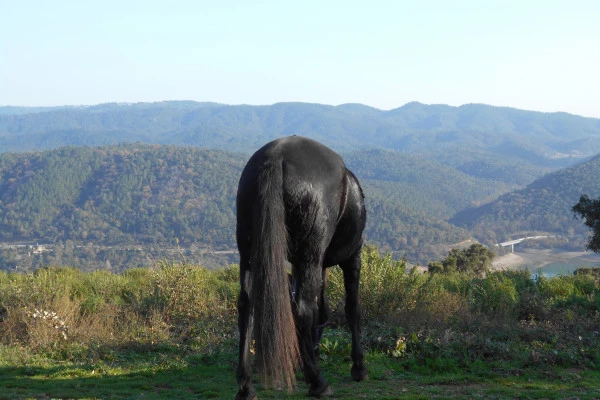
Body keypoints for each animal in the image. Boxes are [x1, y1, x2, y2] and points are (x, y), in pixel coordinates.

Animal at [234, 136, 366, 398]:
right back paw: (318, 383)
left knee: (247, 306)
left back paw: (246, 386)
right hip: (311, 255)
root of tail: (275, 157)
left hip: (249, 253)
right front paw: (358, 366)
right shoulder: (352, 257)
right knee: (303, 309)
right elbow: (352, 308)